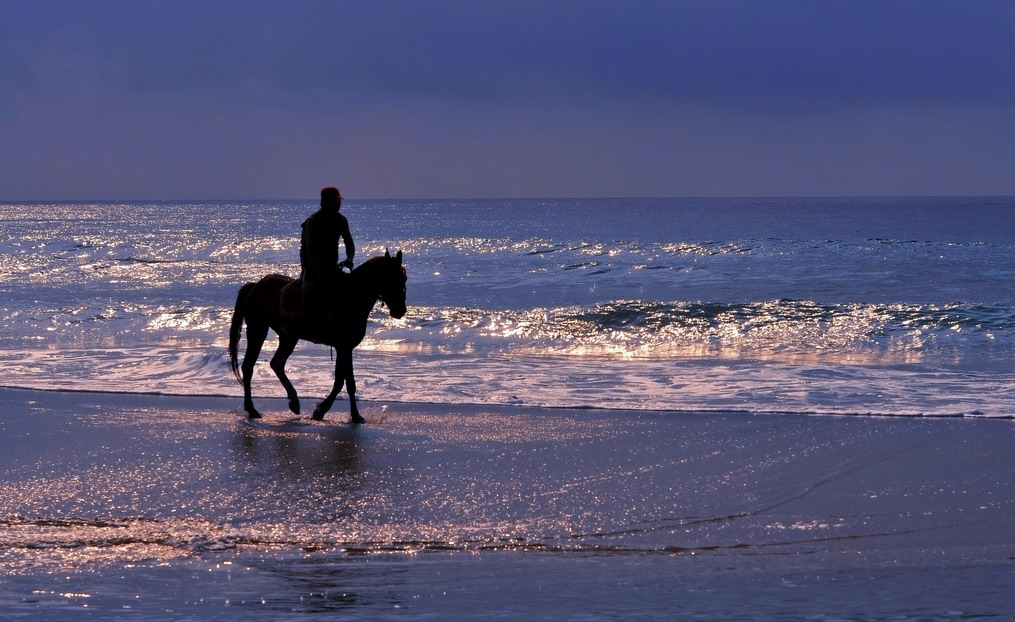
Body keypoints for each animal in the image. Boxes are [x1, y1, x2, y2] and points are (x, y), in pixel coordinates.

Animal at [228, 248, 406, 422]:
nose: (400, 310)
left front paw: (324, 411)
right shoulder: (344, 347)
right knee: (248, 366)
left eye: (404, 278)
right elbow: (347, 382)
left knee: (277, 363)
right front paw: (350, 414)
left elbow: (341, 380)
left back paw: (293, 401)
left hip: (288, 336)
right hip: (257, 330)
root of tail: (255, 286)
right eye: (391, 278)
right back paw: (252, 409)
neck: (350, 298)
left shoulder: (344, 348)